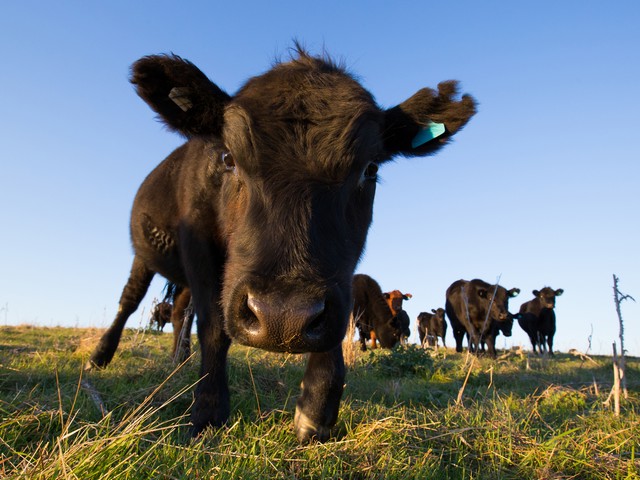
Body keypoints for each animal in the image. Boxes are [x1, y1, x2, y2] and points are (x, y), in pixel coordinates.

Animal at [85, 47, 476, 442]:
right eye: (228, 158)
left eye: (370, 169)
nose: (282, 317)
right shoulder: (199, 248)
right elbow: (213, 327)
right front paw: (208, 412)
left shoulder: (339, 282)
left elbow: (335, 323)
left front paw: (316, 406)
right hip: (144, 257)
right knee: (129, 301)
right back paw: (102, 356)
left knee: (180, 310)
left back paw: (178, 363)